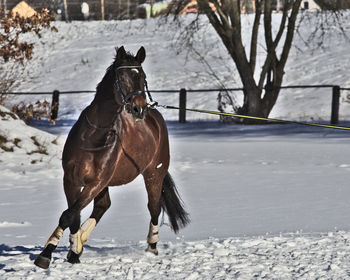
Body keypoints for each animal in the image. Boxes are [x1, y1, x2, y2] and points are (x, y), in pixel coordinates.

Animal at [34, 46, 190, 270]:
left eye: (143, 77)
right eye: (122, 77)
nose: (139, 108)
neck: (93, 135)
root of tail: (155, 118)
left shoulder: (96, 182)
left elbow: (69, 214)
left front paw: (46, 254)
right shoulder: (71, 180)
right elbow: (73, 216)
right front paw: (73, 251)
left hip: (153, 174)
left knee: (154, 207)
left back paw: (152, 247)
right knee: (103, 206)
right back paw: (79, 245)